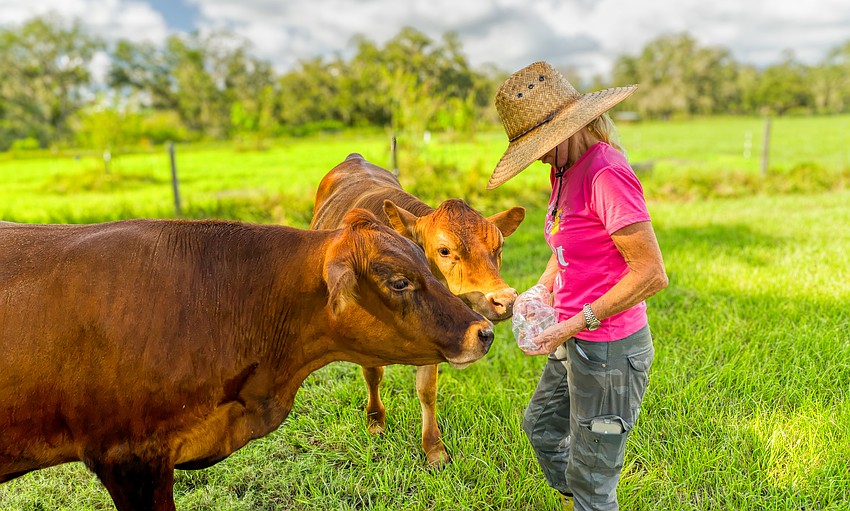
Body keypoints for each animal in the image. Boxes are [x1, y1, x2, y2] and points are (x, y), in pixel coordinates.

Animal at [311, 153, 525, 467]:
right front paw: (375, 421)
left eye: (499, 248)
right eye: (444, 250)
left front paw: (434, 449)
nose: (505, 299)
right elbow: (373, 375)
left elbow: (427, 390)